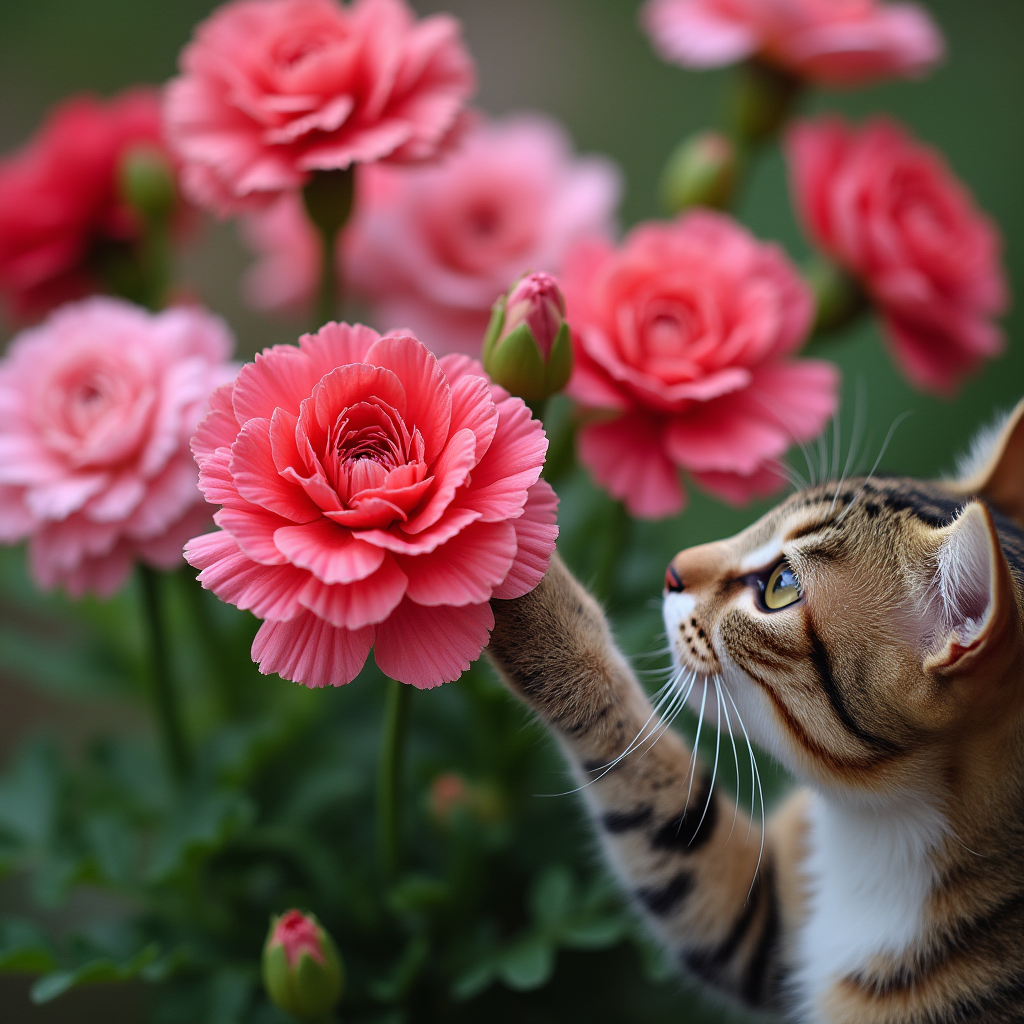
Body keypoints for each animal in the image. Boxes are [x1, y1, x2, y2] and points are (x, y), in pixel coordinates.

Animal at [485, 399, 1024, 1024]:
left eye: (780, 585)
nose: (673, 569)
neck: (873, 827)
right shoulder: (760, 920)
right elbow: (672, 831)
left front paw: (523, 580)